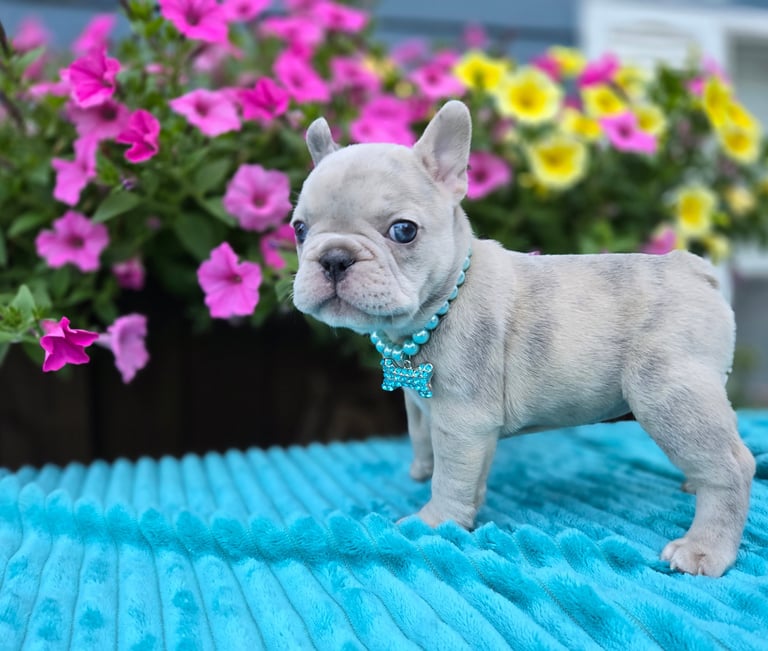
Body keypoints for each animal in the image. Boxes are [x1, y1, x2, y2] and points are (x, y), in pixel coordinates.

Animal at [290, 100, 755, 577]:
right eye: (299, 230)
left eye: (404, 231)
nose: (335, 257)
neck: (437, 307)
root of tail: (690, 267)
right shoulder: (430, 409)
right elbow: (426, 438)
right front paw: (427, 473)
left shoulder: (462, 421)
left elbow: (450, 475)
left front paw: (435, 521)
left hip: (666, 393)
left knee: (734, 465)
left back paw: (704, 548)